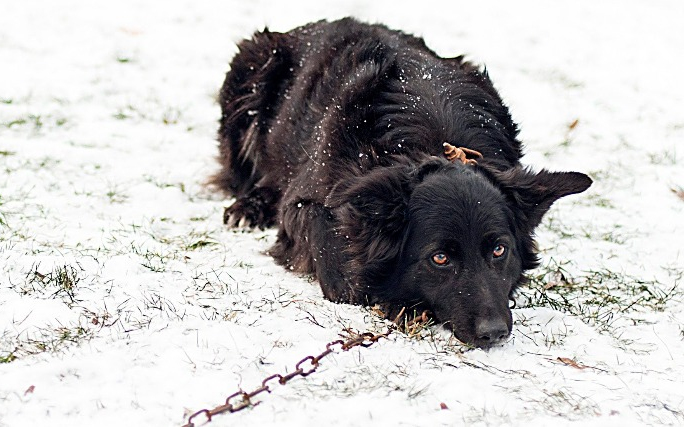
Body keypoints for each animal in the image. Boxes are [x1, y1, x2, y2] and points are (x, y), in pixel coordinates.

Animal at [211, 18, 592, 350]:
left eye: (499, 250)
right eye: (440, 258)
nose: (494, 333)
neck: (434, 139)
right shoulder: (304, 204)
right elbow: (342, 274)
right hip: (251, 71)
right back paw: (249, 206)